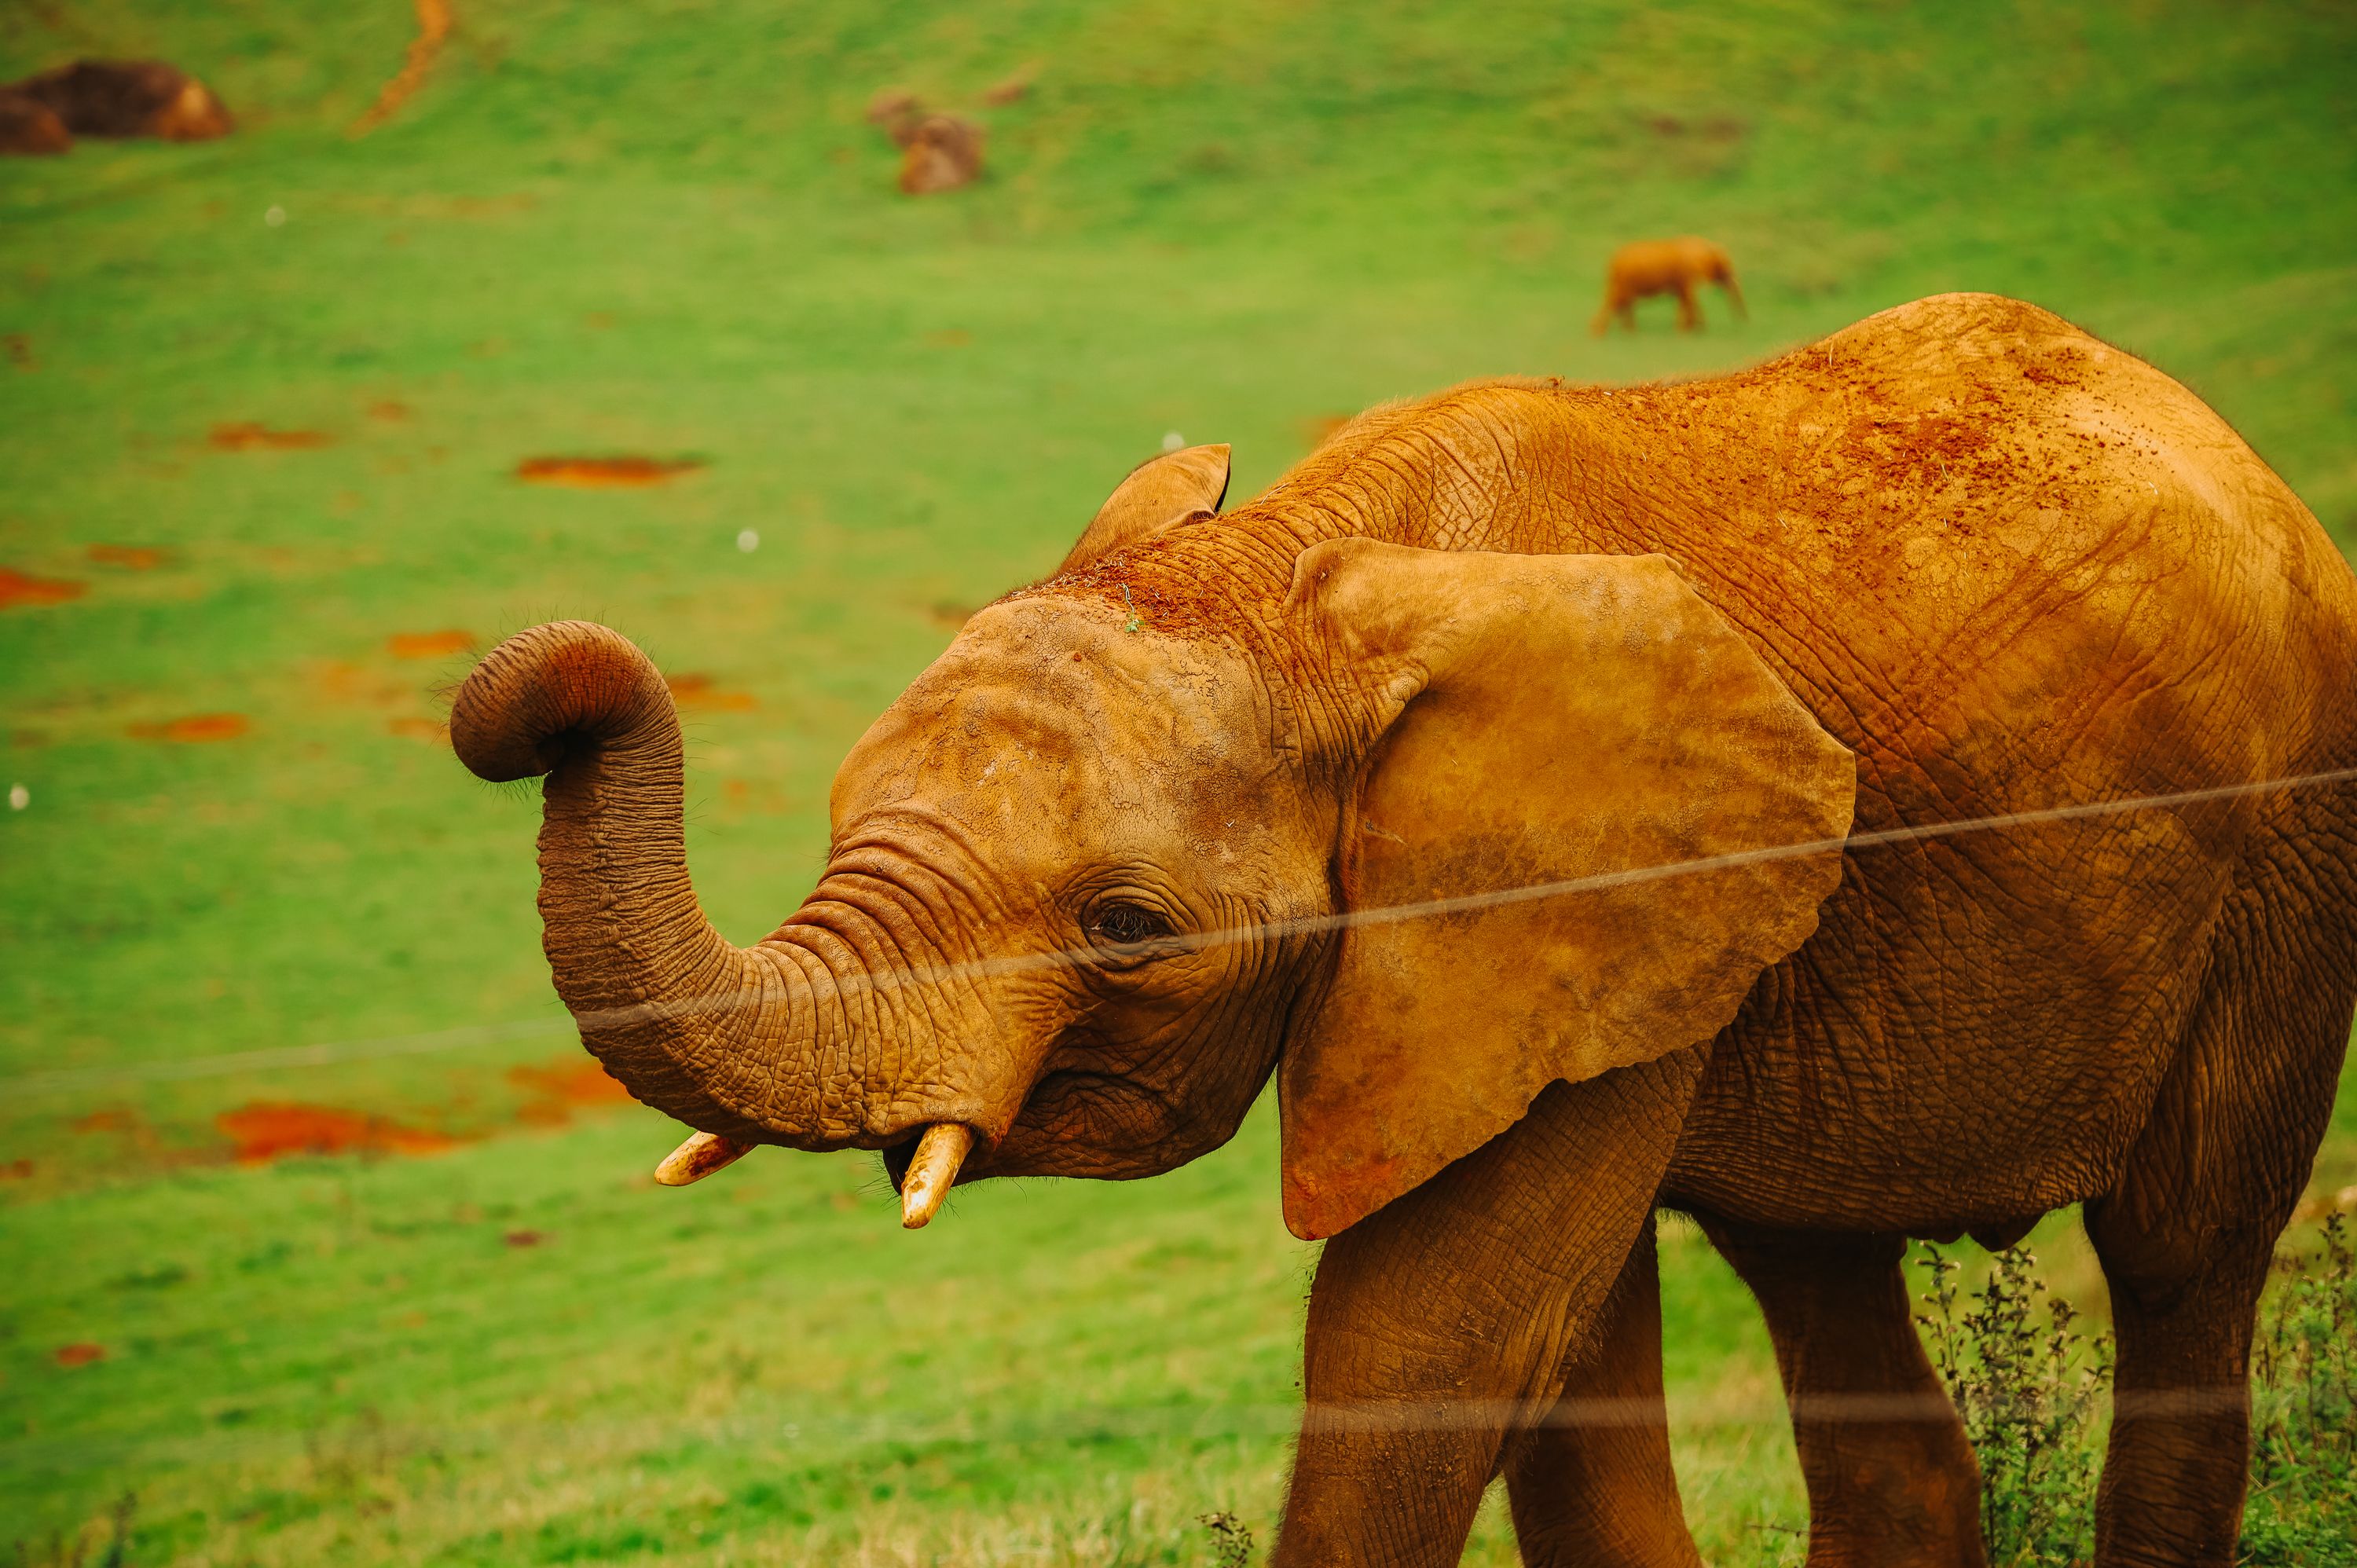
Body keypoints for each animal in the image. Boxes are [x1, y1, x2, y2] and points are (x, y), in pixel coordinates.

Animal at [450, 292, 2357, 1567]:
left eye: (1128, 926)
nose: (526, 698)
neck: (1298, 571)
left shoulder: (1564, 889)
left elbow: (1433, 1335)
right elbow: (1561, 1347)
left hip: (2293, 849)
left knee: (2185, 1248)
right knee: (1816, 1271)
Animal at [1592, 237, 1745, 335]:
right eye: (1727, 266)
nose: (1743, 323)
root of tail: (1612, 261)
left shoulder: (1684, 277)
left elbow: (1684, 298)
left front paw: (1687, 330)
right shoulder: (1689, 273)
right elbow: (1690, 297)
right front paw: (1692, 331)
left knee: (1619, 301)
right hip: (1624, 280)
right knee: (1616, 301)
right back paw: (1601, 334)